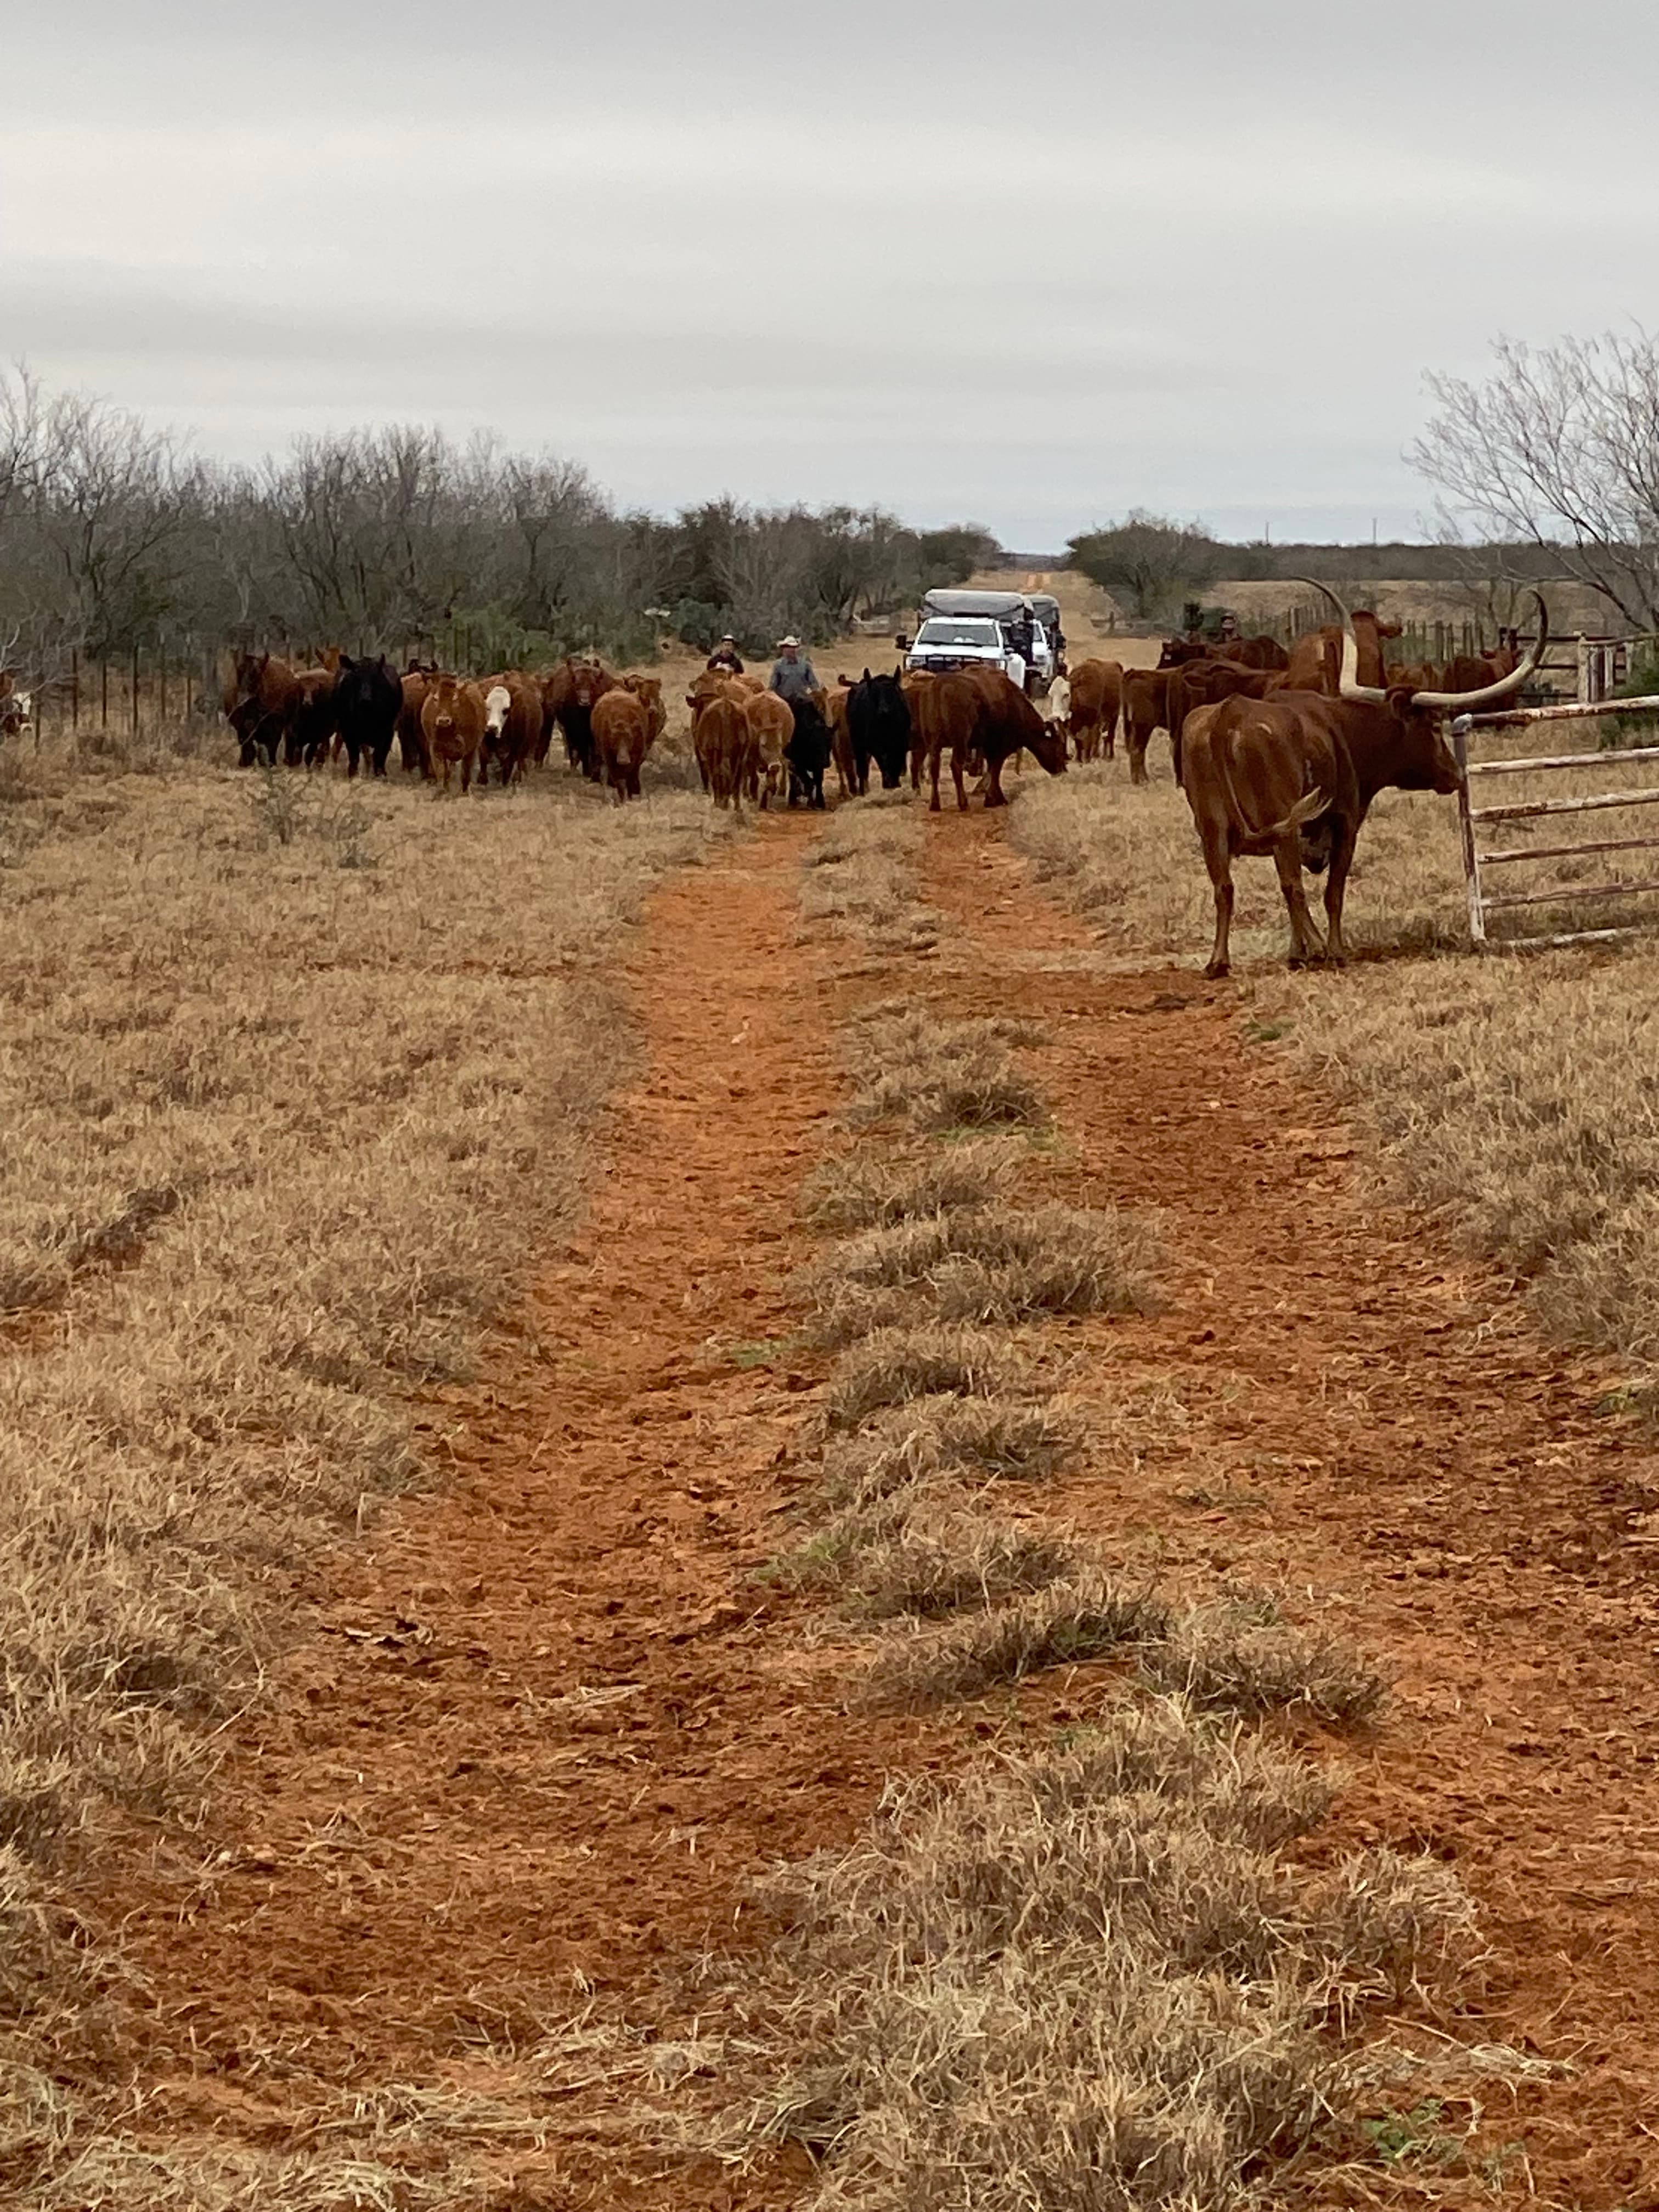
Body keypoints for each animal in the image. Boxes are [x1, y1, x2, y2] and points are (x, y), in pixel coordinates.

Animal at [332, 655, 402, 779]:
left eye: (375, 679)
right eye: (356, 679)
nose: (366, 699)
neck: (366, 717)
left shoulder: (385, 732)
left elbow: (379, 756)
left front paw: (380, 774)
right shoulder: (348, 732)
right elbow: (354, 757)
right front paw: (353, 774)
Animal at [420, 674, 487, 793]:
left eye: (455, 699)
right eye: (436, 699)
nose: (443, 720)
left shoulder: (470, 749)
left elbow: (465, 772)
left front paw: (464, 792)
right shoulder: (436, 749)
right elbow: (442, 771)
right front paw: (442, 791)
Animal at [785, 695, 832, 809]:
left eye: (829, 741)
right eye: (815, 743)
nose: (826, 762)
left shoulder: (818, 767)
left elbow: (818, 781)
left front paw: (820, 802)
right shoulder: (798, 763)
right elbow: (809, 782)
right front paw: (810, 802)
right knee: (793, 775)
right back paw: (793, 798)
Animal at [847, 669, 911, 793]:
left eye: (892, 694)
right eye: (874, 694)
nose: (883, 711)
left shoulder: (902, 742)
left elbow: (897, 761)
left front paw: (895, 783)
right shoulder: (875, 745)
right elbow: (883, 763)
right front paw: (888, 783)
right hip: (858, 744)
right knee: (862, 768)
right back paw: (863, 789)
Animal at [1184, 589, 1548, 978]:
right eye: (1435, 725)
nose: (1454, 774)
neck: (1341, 729)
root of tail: (1228, 716)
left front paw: (1300, 953)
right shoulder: (1345, 824)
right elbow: (1333, 891)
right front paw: (1333, 951)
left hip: (1213, 830)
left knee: (1226, 887)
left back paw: (1220, 961)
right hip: (1280, 826)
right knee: (1292, 886)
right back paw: (1314, 948)